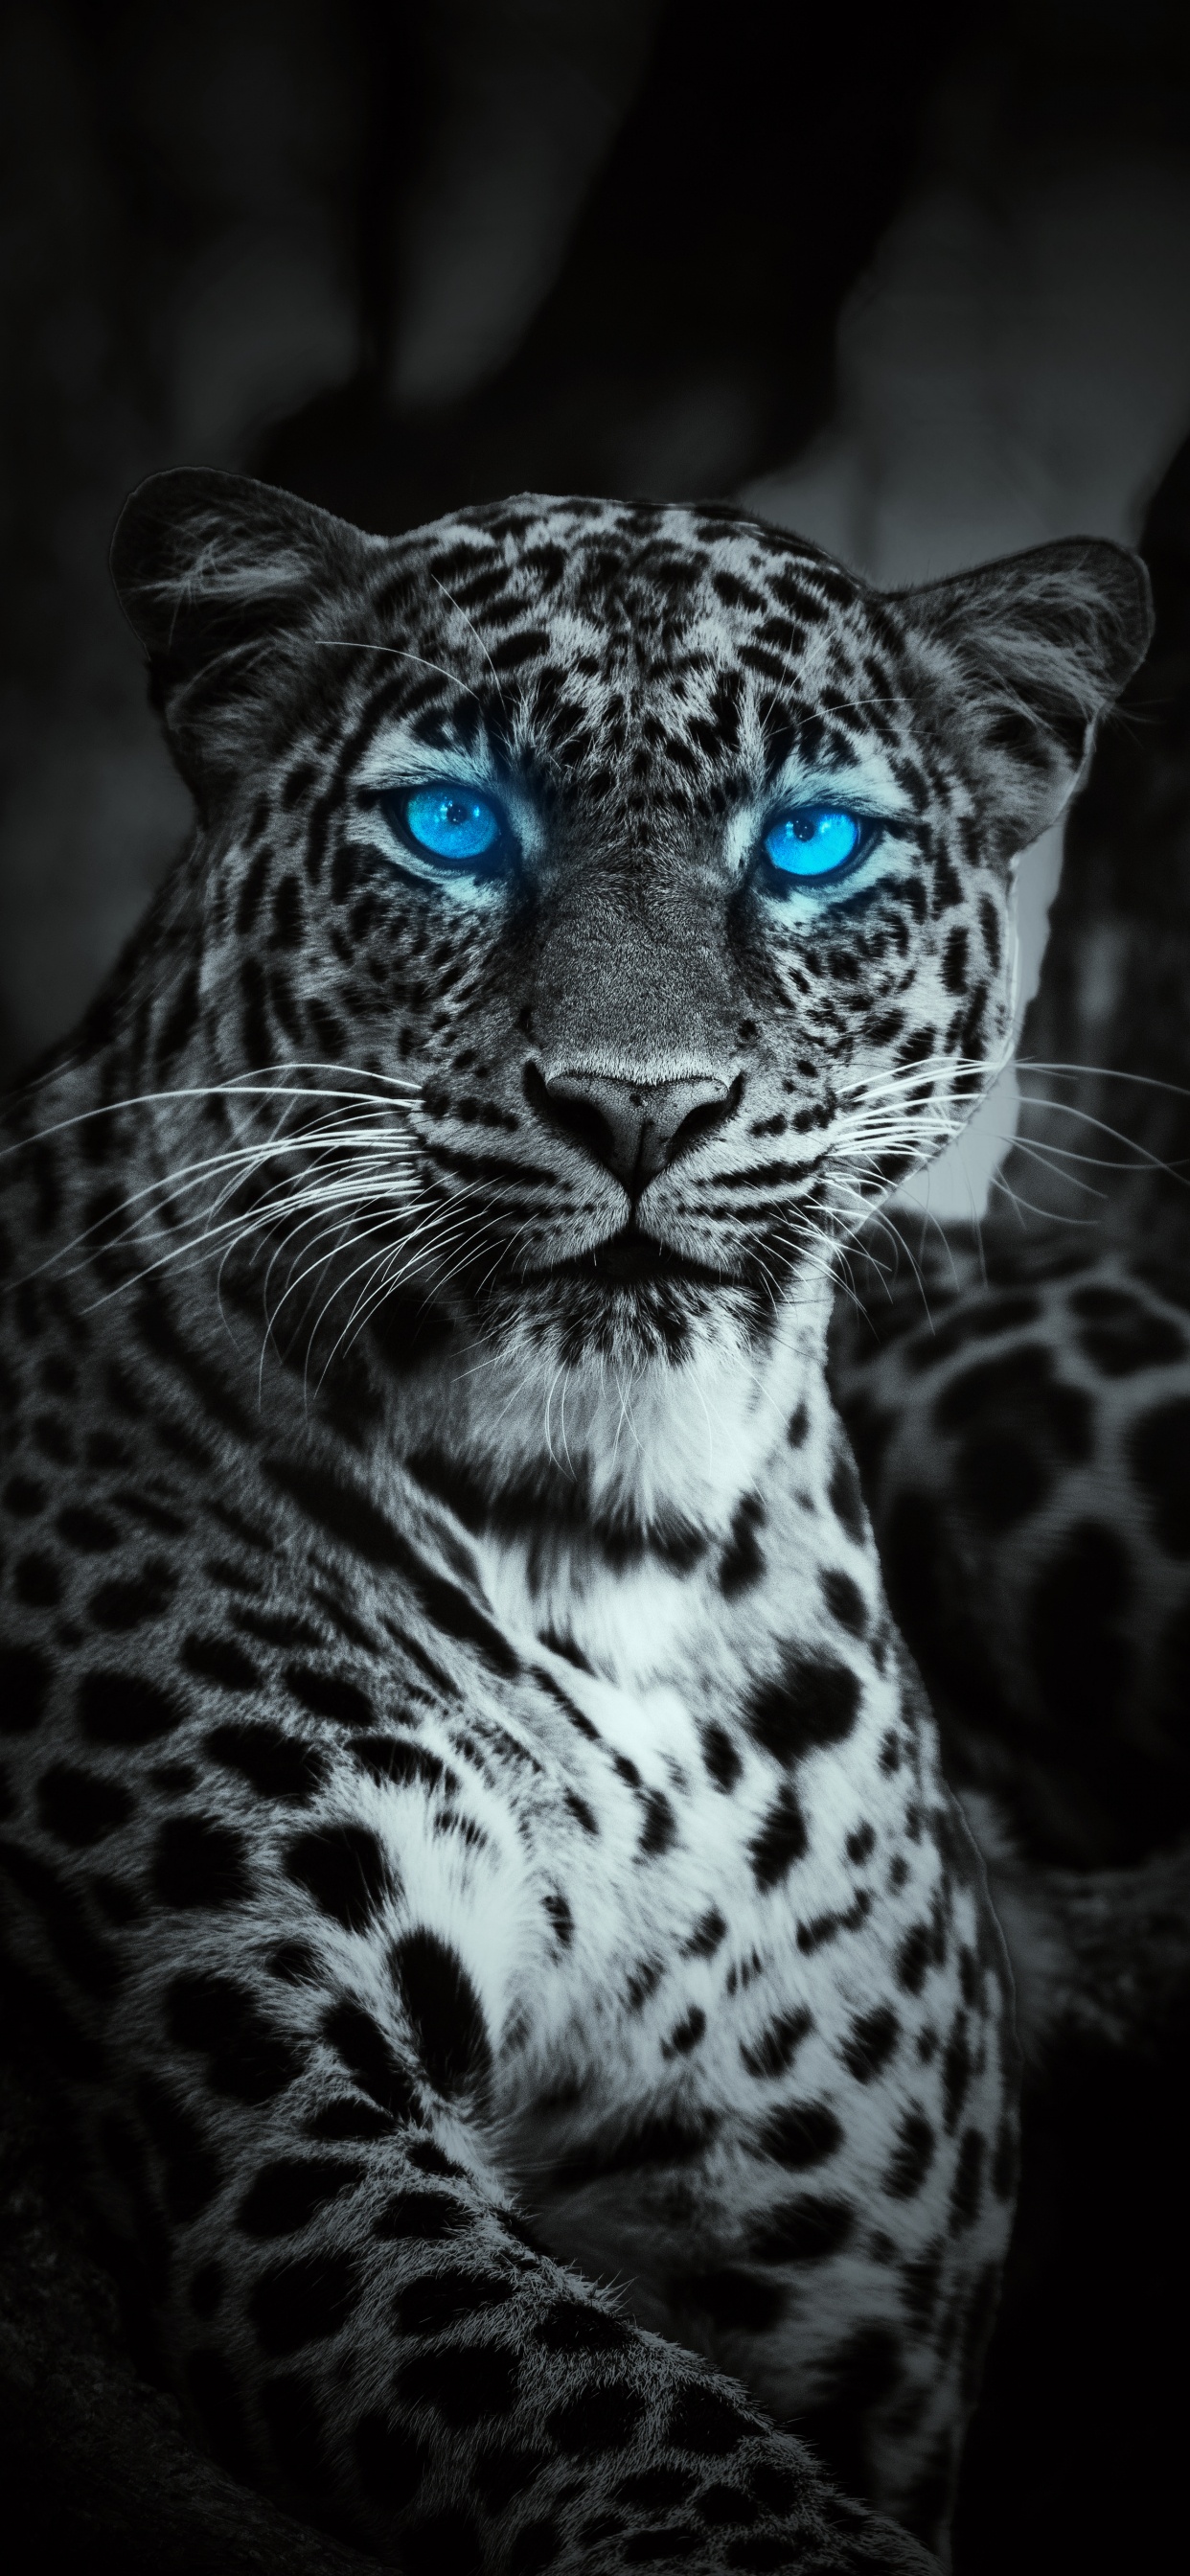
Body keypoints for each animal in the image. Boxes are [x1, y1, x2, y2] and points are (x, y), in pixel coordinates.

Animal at [0, 467, 1151, 2575]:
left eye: (811, 843)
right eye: (454, 824)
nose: (637, 1105)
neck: (609, 1535)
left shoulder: (836, 2271)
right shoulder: (271, 2127)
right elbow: (650, 2446)